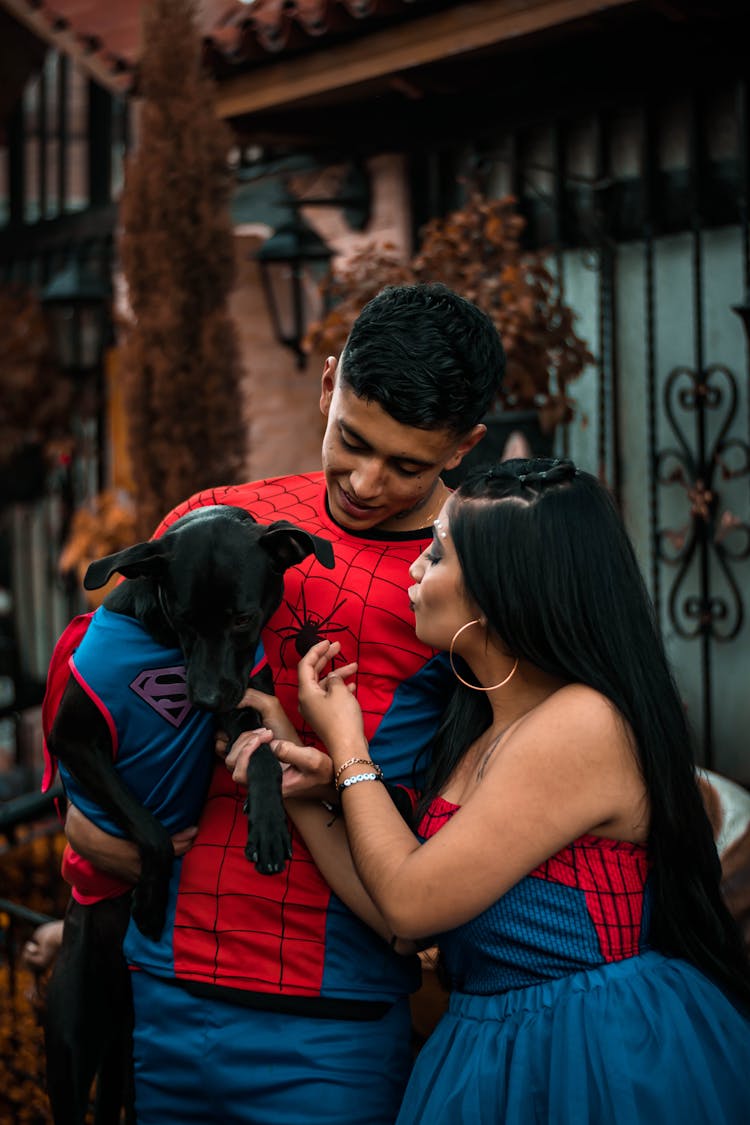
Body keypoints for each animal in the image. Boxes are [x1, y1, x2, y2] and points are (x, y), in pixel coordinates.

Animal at [41, 508, 335, 1125]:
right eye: (182, 618)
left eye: (243, 618)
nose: (200, 700)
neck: (160, 642)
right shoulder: (72, 742)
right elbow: (150, 828)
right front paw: (152, 902)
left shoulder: (244, 706)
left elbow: (265, 754)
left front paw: (268, 830)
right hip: (74, 1039)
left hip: (126, 1060)